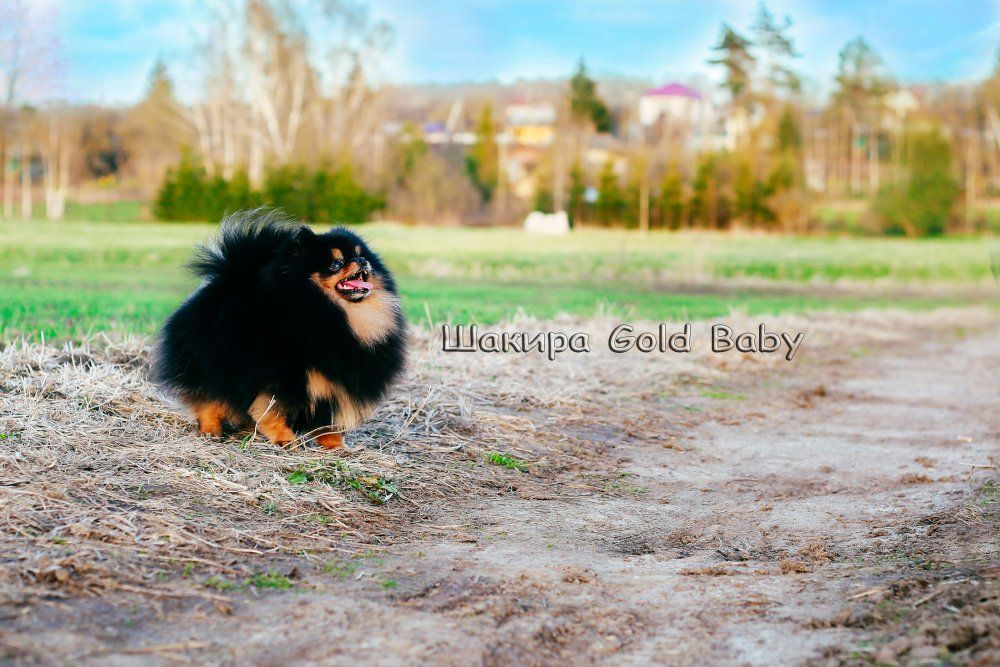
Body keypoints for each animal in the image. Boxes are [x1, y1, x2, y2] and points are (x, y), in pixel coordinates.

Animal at [152, 209, 406, 448]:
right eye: (336, 264)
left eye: (360, 254)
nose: (363, 261)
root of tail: (228, 279)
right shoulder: (284, 374)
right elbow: (274, 408)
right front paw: (284, 439)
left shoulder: (337, 381)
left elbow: (329, 420)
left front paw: (334, 445)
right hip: (213, 363)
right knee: (209, 399)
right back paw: (210, 430)